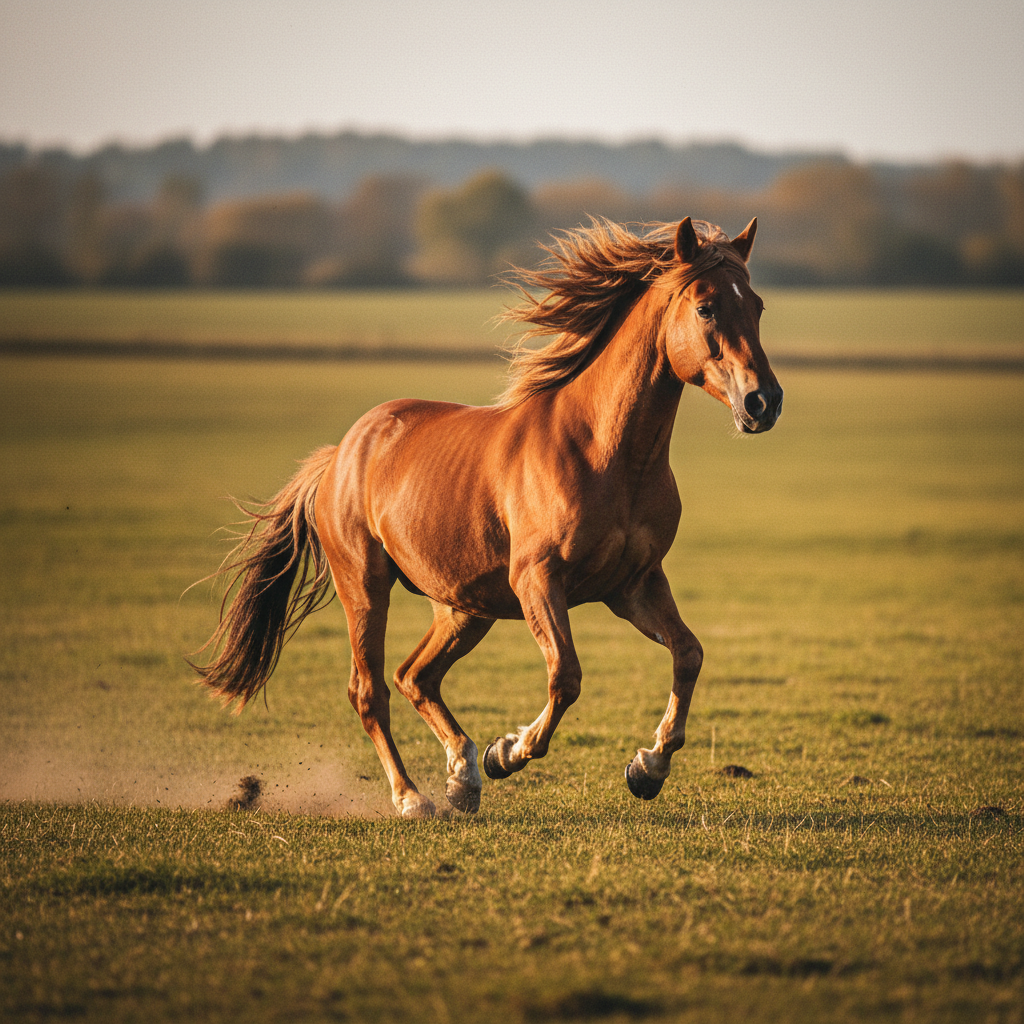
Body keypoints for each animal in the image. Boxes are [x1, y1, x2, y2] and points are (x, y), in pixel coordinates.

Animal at [193, 216, 783, 818]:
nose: (763, 402)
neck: (606, 452)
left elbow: (688, 655)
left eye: (757, 305)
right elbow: (565, 676)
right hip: (365, 585)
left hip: (463, 606)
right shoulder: (537, 580)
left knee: (415, 676)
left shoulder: (633, 584)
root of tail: (339, 454)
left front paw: (648, 767)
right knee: (371, 690)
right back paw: (414, 797)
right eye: (706, 307)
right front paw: (510, 751)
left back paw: (462, 777)